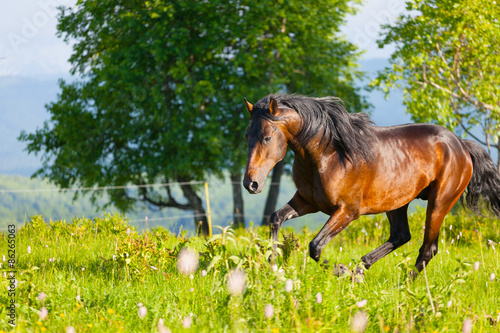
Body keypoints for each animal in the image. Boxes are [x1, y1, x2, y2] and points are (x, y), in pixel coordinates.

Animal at [242, 92, 500, 274]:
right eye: (246, 136)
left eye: (267, 137)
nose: (250, 184)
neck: (328, 154)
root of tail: (461, 145)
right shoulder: (308, 201)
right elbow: (275, 218)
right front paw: (273, 263)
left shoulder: (347, 211)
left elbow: (315, 246)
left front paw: (341, 270)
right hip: (397, 203)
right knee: (401, 236)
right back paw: (361, 268)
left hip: (439, 203)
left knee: (427, 249)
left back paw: (400, 287)